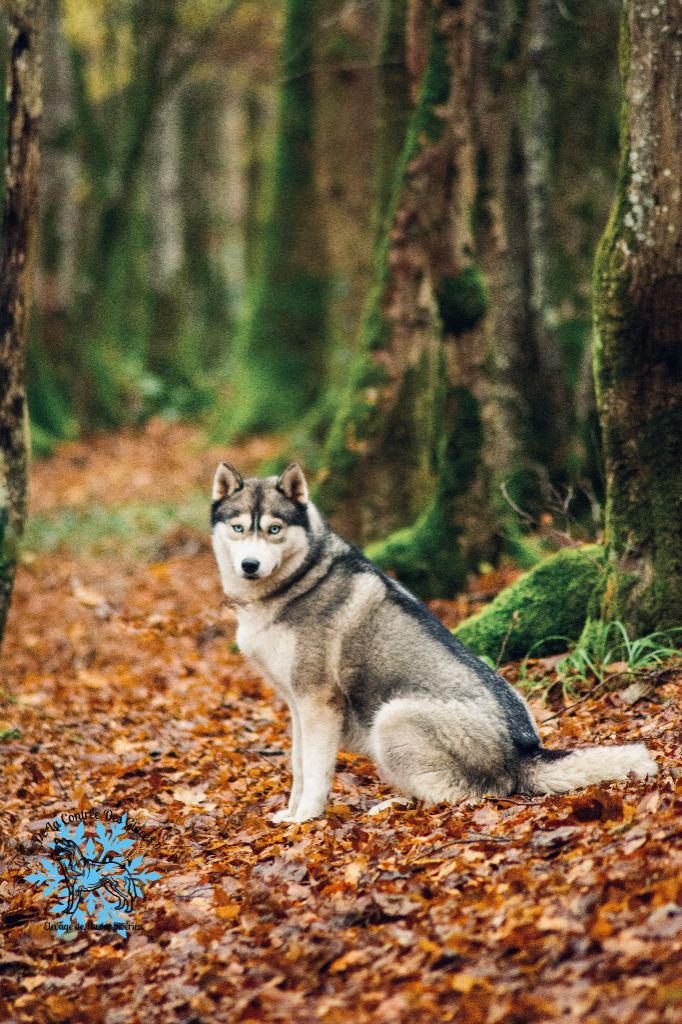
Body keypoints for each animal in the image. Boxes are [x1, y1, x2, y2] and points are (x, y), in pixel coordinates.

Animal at [209, 464, 655, 823]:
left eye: (274, 529)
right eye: (238, 528)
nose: (250, 565)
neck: (297, 580)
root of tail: (522, 753)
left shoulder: (318, 703)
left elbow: (315, 772)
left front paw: (305, 819)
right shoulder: (297, 705)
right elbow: (298, 766)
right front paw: (290, 812)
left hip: (392, 716)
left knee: (468, 795)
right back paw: (394, 803)